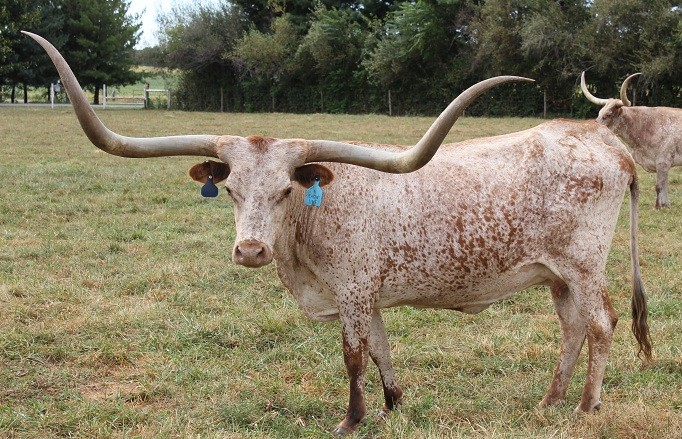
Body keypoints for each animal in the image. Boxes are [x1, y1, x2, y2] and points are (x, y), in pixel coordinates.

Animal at [24, 31, 652, 435]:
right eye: (230, 190)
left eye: (286, 190)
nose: (250, 250)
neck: (309, 232)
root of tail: (609, 147)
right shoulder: (366, 294)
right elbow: (380, 346)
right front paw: (394, 405)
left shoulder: (351, 289)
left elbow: (353, 354)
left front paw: (351, 419)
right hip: (556, 275)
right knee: (573, 327)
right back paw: (549, 401)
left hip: (584, 265)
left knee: (600, 325)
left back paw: (586, 408)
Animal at [581, 71, 682, 209]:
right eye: (599, 113)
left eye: (608, 115)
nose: (592, 127)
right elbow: (664, 186)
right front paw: (665, 206)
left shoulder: (663, 161)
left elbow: (659, 186)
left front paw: (658, 207)